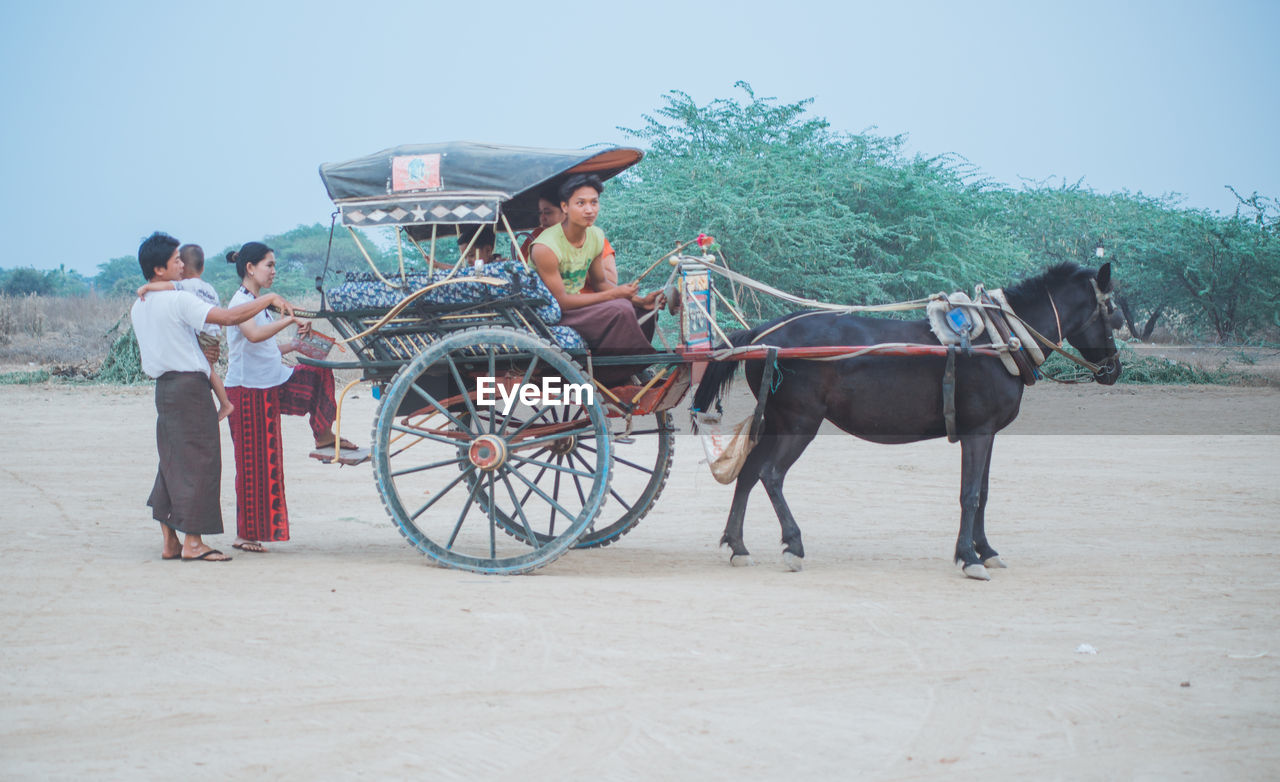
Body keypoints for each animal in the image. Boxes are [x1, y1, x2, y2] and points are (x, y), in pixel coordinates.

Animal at [691, 263, 1121, 581]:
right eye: (1115, 313)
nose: (1114, 370)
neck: (998, 344)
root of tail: (764, 334)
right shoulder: (977, 432)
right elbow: (970, 494)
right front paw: (969, 557)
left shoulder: (988, 433)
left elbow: (983, 493)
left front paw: (986, 550)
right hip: (800, 422)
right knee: (772, 475)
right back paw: (793, 545)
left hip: (777, 419)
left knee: (749, 472)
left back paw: (737, 546)